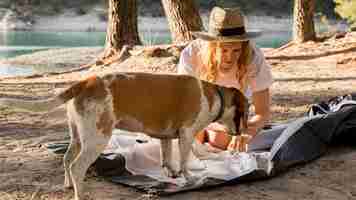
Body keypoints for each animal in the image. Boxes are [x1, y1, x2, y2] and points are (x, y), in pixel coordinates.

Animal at [0, 72, 248, 200]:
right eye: (246, 110)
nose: (243, 132)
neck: (215, 96)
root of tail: (86, 81)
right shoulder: (186, 135)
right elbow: (185, 162)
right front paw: (189, 178)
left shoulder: (166, 137)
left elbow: (167, 158)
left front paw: (172, 174)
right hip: (96, 140)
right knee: (77, 167)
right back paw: (80, 193)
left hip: (77, 137)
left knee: (67, 159)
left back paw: (68, 186)